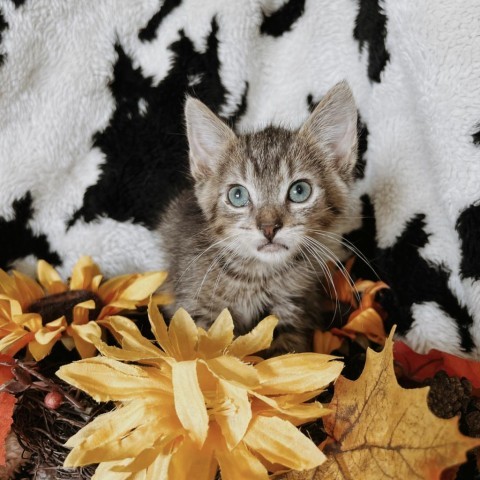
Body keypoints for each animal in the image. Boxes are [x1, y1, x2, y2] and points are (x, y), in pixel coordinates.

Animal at [159, 80, 358, 352]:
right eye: (237, 195)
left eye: (300, 191)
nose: (269, 227)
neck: (256, 274)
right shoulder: (192, 305)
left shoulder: (294, 306)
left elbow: (289, 353)